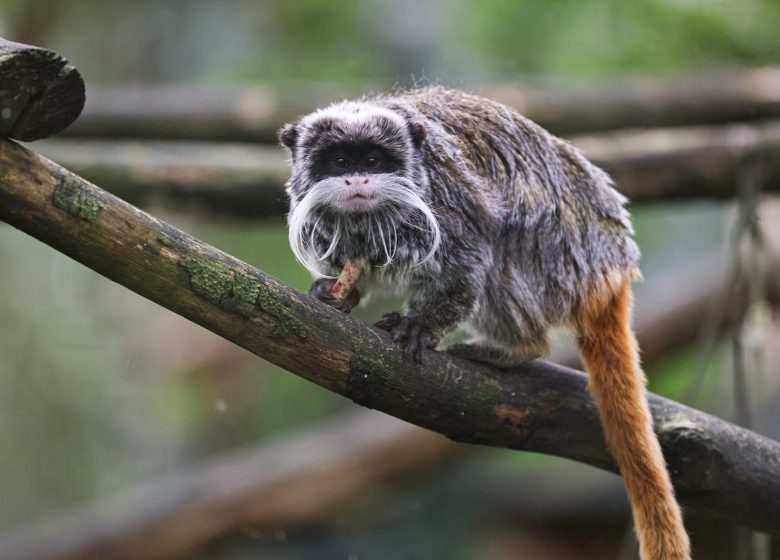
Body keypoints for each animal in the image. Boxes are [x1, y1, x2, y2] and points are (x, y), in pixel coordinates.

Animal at [278, 87, 688, 560]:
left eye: (374, 160)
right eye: (340, 162)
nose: (356, 180)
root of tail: (612, 269)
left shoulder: (444, 200)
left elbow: (469, 254)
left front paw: (419, 328)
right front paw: (337, 293)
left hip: (557, 258)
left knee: (500, 249)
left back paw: (514, 349)